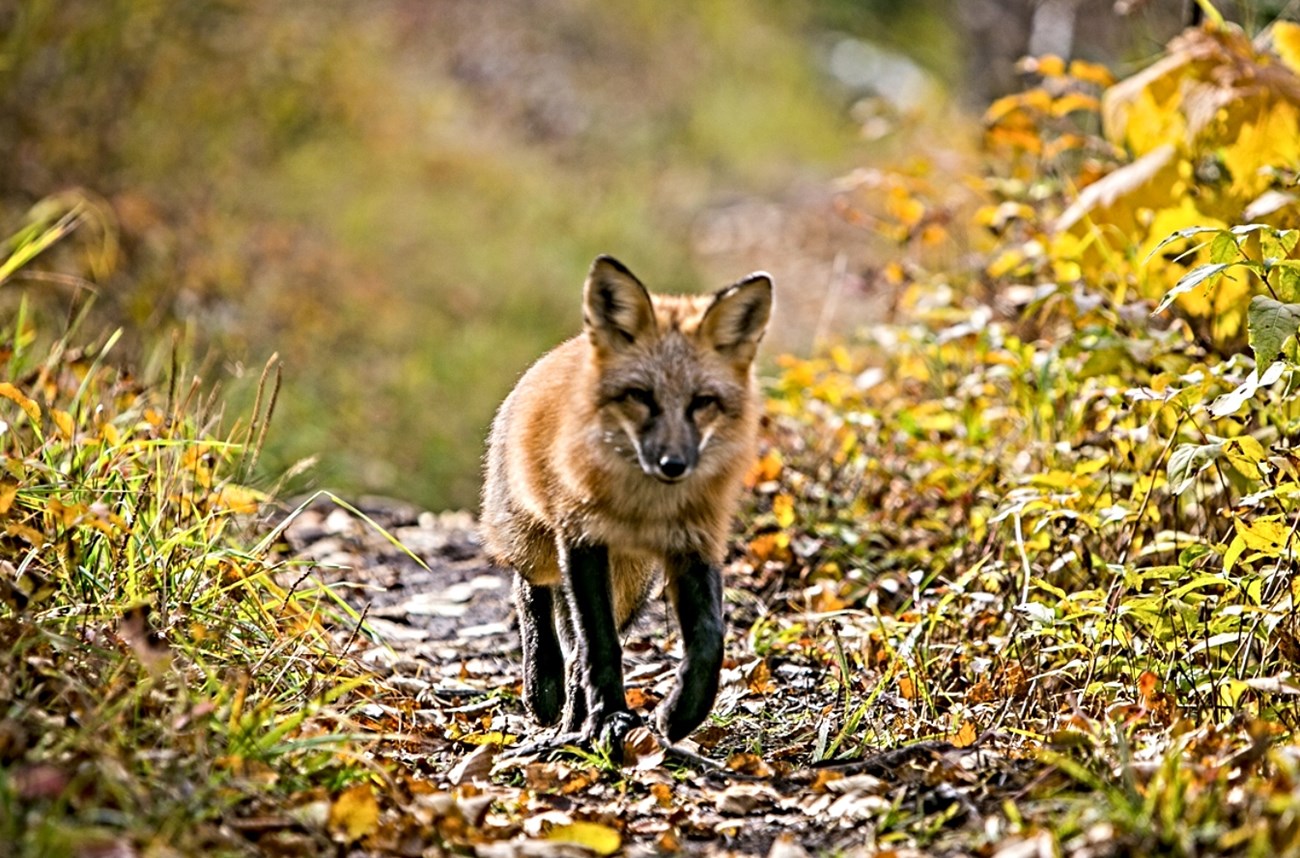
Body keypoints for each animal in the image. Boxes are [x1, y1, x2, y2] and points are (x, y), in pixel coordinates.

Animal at [486, 253, 769, 748]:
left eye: (703, 402)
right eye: (640, 396)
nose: (673, 464)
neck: (644, 505)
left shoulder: (695, 541)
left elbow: (709, 639)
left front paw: (679, 714)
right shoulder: (581, 538)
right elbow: (599, 644)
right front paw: (609, 716)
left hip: (633, 581)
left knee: (576, 644)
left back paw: (574, 716)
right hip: (539, 546)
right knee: (532, 593)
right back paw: (544, 688)